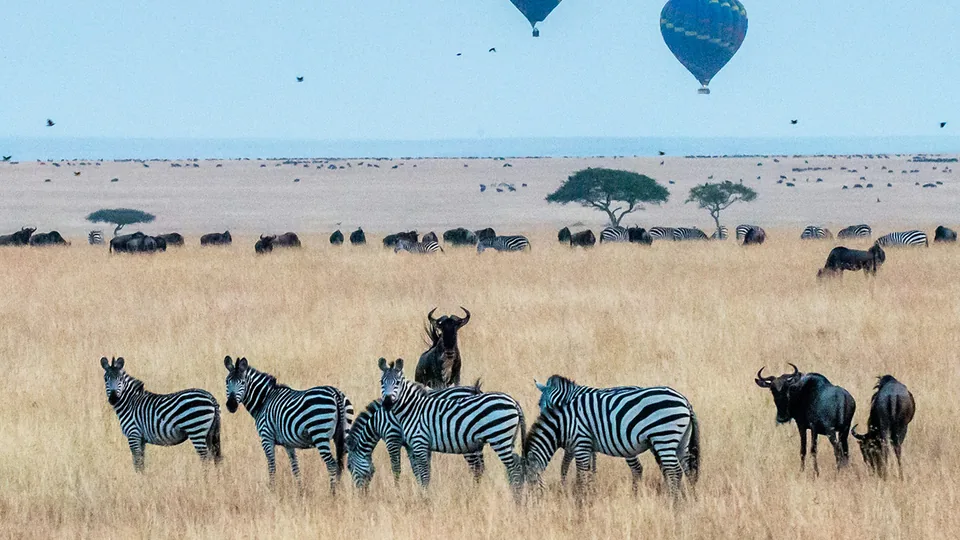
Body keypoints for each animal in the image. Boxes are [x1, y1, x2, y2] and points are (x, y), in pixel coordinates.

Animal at [223, 356, 353, 492]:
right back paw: (341, 491)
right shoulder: (288, 444)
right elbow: (295, 467)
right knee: (342, 464)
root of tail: (336, 393)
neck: (264, 400)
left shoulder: (266, 438)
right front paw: (300, 490)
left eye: (243, 382)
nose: (231, 405)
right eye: (227, 381)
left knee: (332, 465)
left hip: (319, 433)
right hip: (344, 433)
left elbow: (272, 466)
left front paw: (272, 490)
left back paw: (332, 493)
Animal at [346, 383, 484, 491]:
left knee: (476, 468)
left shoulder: (392, 438)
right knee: (481, 467)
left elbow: (396, 468)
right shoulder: (410, 443)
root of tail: (475, 390)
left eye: (349, 467)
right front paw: (421, 489)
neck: (378, 420)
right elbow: (416, 469)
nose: (360, 495)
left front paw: (397, 490)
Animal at [377, 358, 526, 494]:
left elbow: (415, 472)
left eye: (397, 382)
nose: (387, 403)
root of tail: (514, 402)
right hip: (505, 439)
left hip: (499, 438)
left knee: (513, 468)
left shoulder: (412, 441)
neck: (413, 408)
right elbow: (421, 472)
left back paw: (515, 496)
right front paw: (422, 493)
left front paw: (421, 496)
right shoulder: (416, 445)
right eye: (381, 382)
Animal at [524, 378, 699, 499]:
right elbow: (587, 466)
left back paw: (672, 500)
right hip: (678, 442)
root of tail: (685, 401)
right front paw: (586, 488)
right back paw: (689, 498)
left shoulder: (580, 439)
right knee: (687, 469)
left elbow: (571, 466)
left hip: (662, 437)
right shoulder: (586, 442)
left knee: (668, 470)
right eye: (539, 404)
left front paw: (577, 491)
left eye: (544, 404)